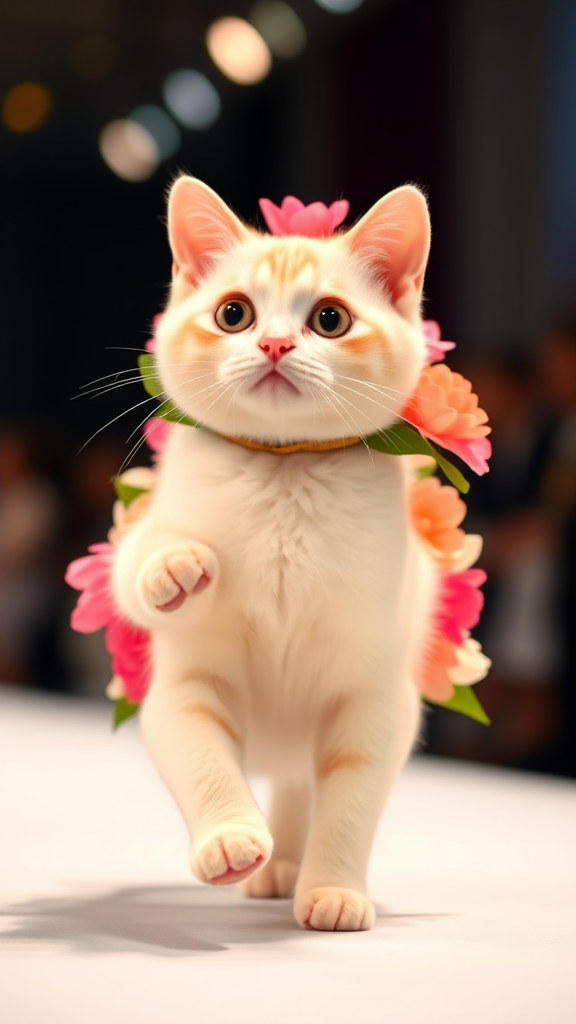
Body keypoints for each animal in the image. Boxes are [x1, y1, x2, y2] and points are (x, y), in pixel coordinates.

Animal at [112, 178, 434, 937]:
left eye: (330, 319)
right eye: (233, 313)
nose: (276, 342)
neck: (285, 469)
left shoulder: (377, 700)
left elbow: (349, 797)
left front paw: (334, 888)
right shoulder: (183, 685)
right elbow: (198, 750)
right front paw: (229, 836)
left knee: (298, 784)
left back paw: (292, 864)